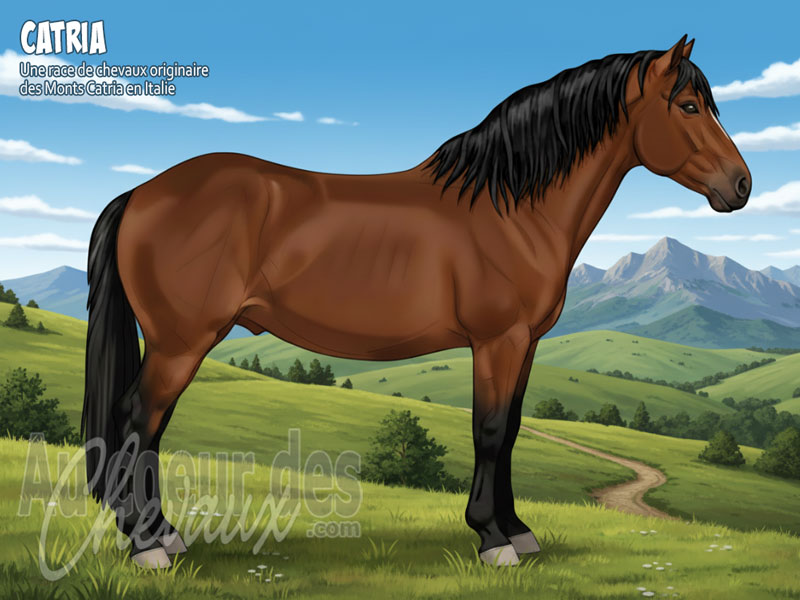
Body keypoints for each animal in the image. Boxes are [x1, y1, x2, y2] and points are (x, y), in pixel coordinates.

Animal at [82, 35, 750, 568]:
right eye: (689, 105)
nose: (741, 186)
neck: (512, 208)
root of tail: (142, 192)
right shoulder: (498, 340)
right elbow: (489, 430)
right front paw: (493, 540)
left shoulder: (526, 345)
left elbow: (511, 431)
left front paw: (518, 532)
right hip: (180, 343)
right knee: (139, 421)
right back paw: (147, 546)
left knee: (149, 428)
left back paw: (163, 534)